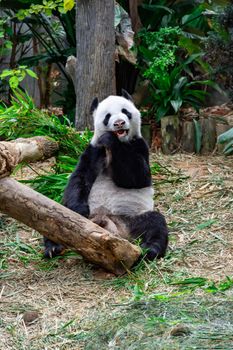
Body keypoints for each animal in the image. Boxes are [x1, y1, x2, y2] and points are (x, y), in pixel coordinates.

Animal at [43, 90, 167, 260]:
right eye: (108, 116)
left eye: (125, 111)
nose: (119, 123)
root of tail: (109, 226)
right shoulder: (94, 150)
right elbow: (79, 178)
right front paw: (80, 209)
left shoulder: (140, 146)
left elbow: (138, 178)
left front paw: (111, 140)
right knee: (54, 217)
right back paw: (53, 247)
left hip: (131, 219)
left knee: (156, 223)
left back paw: (150, 250)